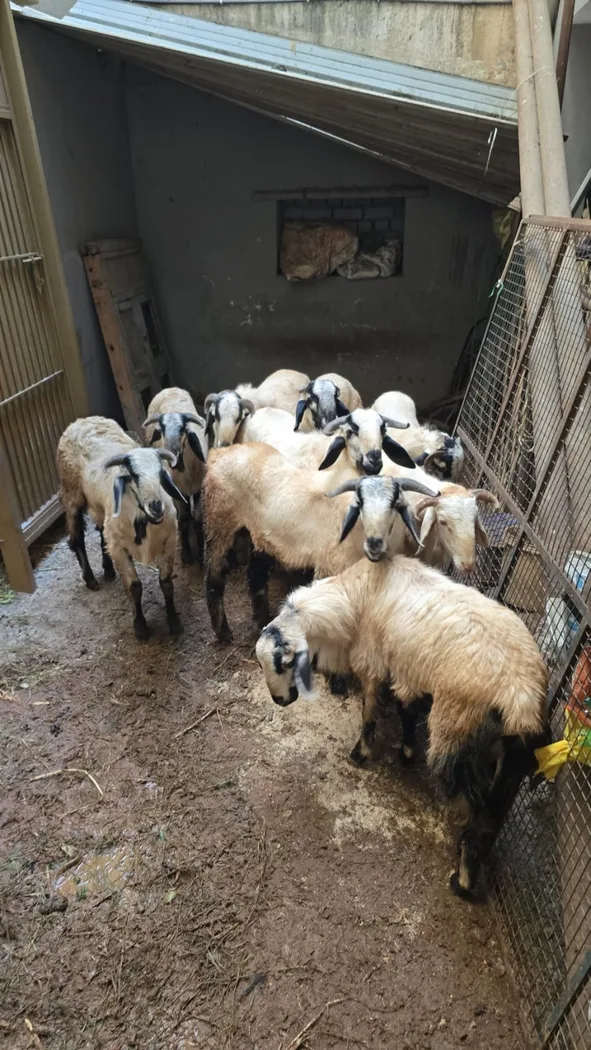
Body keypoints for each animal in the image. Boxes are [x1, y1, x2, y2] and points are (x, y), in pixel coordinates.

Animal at [57, 417, 186, 640]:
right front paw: (140, 627)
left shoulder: (168, 542)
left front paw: (174, 622)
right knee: (77, 538)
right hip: (71, 492)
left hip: (100, 507)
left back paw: (108, 569)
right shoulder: (120, 549)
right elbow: (134, 587)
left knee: (101, 531)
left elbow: (166, 582)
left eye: (160, 473)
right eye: (133, 475)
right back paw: (90, 579)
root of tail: (81, 420)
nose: (156, 506)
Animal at [143, 388, 208, 567]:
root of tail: (168, 389)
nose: (171, 453)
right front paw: (186, 555)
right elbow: (184, 518)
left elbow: (198, 517)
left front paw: (201, 554)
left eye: (182, 429)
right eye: (162, 430)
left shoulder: (198, 487)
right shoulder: (178, 491)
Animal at [202, 446, 435, 642]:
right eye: (360, 503)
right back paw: (223, 632)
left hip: (261, 537)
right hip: (219, 522)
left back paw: (262, 620)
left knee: (255, 575)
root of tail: (218, 453)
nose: (374, 544)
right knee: (214, 576)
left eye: (394, 505)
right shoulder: (328, 567)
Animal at [256, 555, 548, 899]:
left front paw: (361, 753)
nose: (280, 700)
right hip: (510, 761)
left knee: (481, 818)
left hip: (456, 732)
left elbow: (370, 712)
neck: (354, 598)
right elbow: (406, 710)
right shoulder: (406, 672)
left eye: (283, 663)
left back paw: (462, 880)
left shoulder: (373, 663)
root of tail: (521, 697)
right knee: (494, 815)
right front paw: (407, 751)